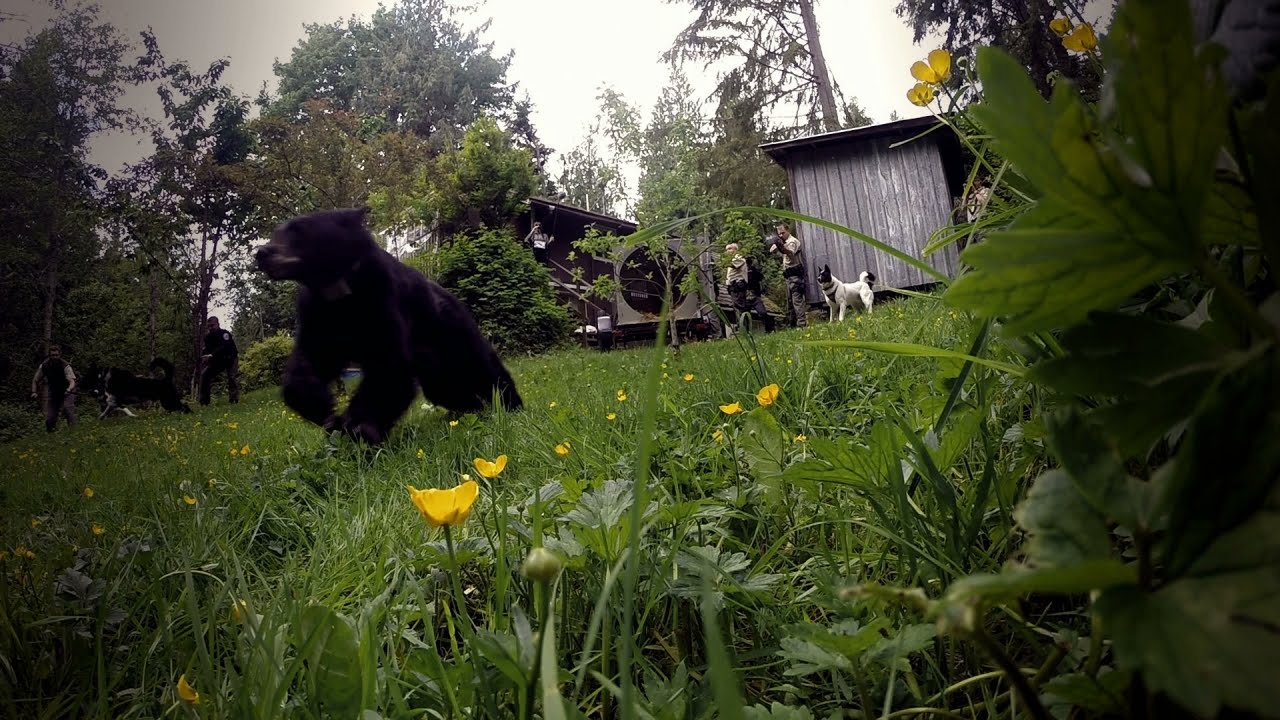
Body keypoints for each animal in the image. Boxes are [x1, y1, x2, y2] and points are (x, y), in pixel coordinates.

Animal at [254, 207, 523, 445]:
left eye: (298, 230)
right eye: (277, 232)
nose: (261, 253)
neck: (338, 290)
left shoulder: (382, 301)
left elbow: (389, 368)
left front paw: (358, 429)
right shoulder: (319, 315)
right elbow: (309, 362)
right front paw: (323, 409)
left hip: (454, 335)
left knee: (483, 367)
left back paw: (510, 406)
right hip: (436, 366)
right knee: (449, 386)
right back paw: (468, 410)